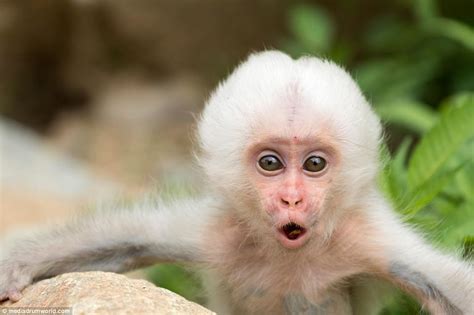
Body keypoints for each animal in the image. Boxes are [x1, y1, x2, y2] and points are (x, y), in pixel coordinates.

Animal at [0, 51, 474, 315]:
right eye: (270, 163)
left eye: (314, 164)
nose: (292, 198)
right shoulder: (219, 231)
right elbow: (129, 239)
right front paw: (15, 269)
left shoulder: (365, 237)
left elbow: (453, 289)